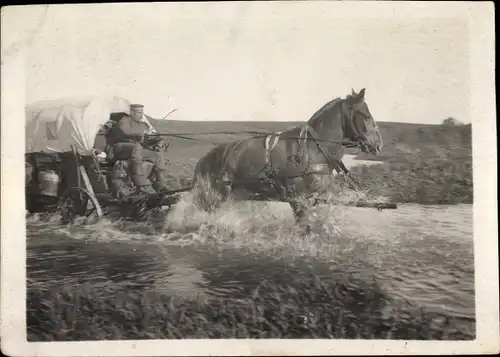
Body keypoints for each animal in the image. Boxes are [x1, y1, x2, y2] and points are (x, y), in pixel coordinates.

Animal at [190, 88, 382, 228]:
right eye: (365, 115)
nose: (378, 143)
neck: (312, 149)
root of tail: (204, 160)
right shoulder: (298, 199)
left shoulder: (311, 199)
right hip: (216, 197)